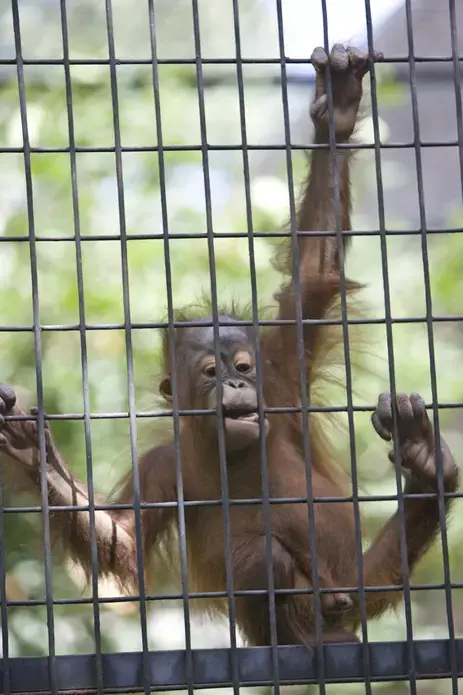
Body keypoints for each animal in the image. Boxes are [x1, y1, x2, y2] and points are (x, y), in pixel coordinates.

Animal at [0, 44, 459, 647]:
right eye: (211, 373)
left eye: (243, 365)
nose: (238, 383)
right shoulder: (164, 466)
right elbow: (120, 537)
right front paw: (36, 457)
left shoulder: (282, 377)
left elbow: (313, 271)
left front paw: (336, 111)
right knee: (259, 558)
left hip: (359, 585)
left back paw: (426, 466)